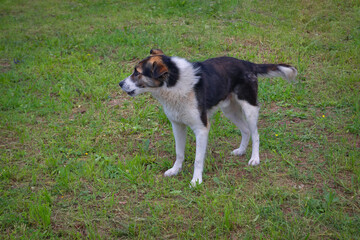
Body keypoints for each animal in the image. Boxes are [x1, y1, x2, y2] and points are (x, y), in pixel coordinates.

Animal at [119, 48, 296, 187]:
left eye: (137, 73)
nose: (120, 84)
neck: (175, 83)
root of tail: (247, 63)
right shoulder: (177, 125)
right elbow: (179, 152)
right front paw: (175, 170)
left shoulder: (201, 129)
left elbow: (198, 159)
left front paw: (196, 181)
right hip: (229, 111)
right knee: (245, 131)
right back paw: (241, 150)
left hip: (249, 108)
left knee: (256, 134)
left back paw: (254, 158)